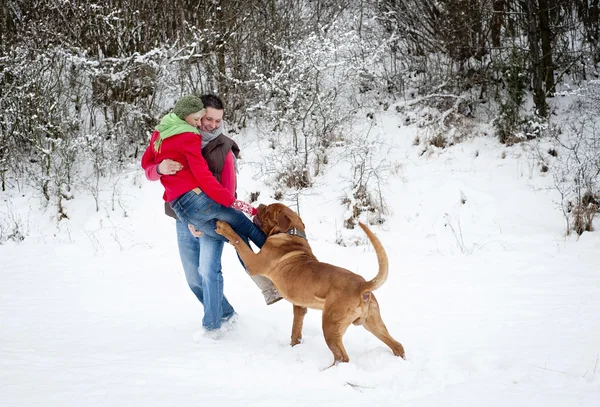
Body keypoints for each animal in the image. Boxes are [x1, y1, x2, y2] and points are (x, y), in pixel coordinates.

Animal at [213, 204, 406, 366]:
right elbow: (295, 331)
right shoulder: (299, 307)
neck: (292, 233)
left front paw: (224, 227)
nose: (259, 205)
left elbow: (237, 240)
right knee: (397, 345)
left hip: (330, 325)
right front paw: (294, 346)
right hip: (373, 323)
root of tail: (363, 286)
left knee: (342, 357)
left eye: (267, 209)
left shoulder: (253, 262)